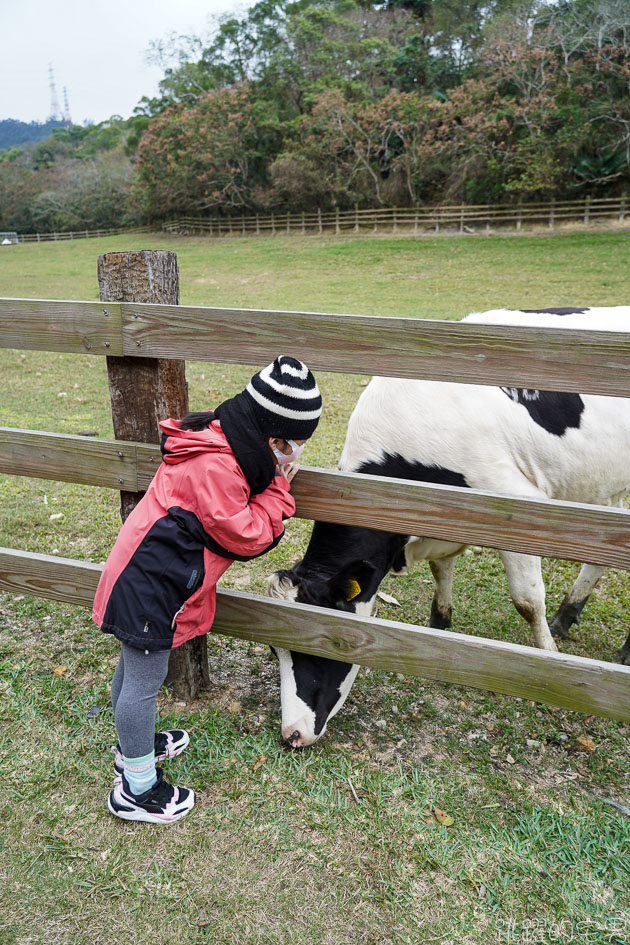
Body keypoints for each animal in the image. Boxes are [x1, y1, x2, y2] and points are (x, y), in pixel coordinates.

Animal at [270, 308, 630, 744]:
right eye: (274, 649)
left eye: (318, 643)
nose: (292, 733)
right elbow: (442, 573)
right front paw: (439, 629)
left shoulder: (516, 503)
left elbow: (527, 601)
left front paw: (549, 662)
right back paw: (567, 614)